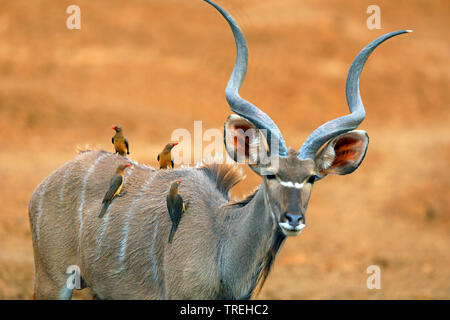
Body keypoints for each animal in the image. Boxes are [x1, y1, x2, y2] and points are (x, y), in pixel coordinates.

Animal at [26, 0, 410, 300]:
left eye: (312, 178)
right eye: (271, 175)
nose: (293, 220)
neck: (222, 243)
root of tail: (43, 187)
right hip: (51, 280)